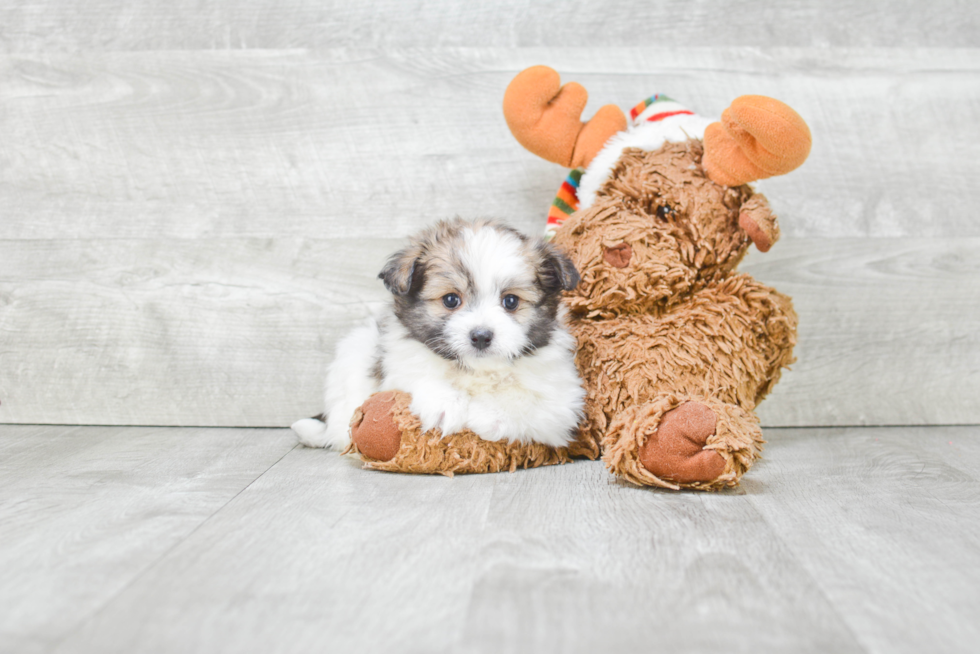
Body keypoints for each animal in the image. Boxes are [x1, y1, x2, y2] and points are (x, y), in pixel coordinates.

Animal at [290, 218, 580, 454]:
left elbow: (527, 401)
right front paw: (445, 405)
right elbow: (419, 375)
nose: (481, 336)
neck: (477, 371)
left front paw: (487, 415)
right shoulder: (399, 363)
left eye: (510, 301)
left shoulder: (562, 404)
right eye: (451, 300)